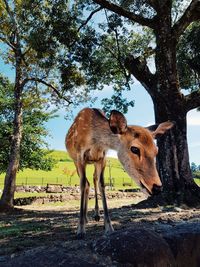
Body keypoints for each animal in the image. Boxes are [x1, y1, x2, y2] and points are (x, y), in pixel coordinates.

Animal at [66, 108, 173, 240]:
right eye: (135, 149)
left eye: (156, 150)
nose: (157, 187)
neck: (95, 141)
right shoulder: (80, 157)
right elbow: (82, 185)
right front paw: (80, 230)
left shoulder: (102, 157)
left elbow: (102, 185)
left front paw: (109, 227)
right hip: (76, 162)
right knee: (85, 183)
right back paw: (84, 220)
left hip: (95, 162)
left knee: (93, 180)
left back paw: (95, 215)